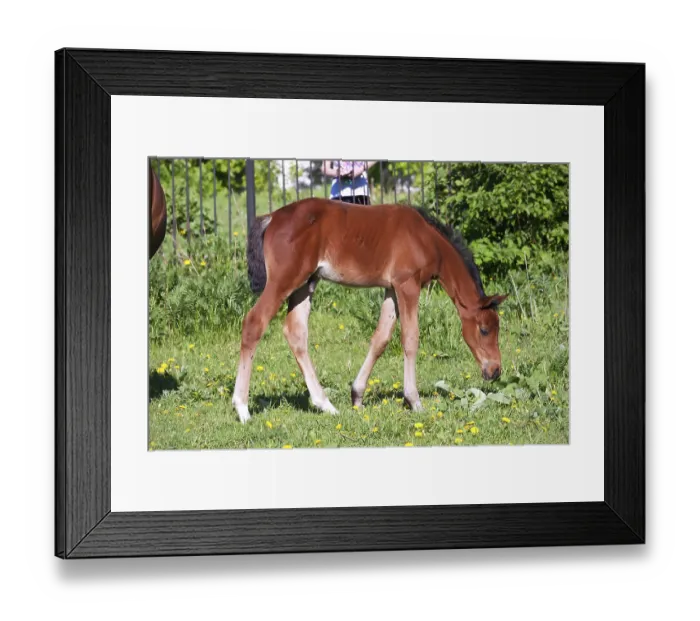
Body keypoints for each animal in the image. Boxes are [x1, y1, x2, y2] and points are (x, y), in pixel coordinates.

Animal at [233, 197, 507, 424]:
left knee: (296, 333)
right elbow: (410, 339)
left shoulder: (391, 289)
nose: (495, 371)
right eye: (484, 329)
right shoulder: (408, 285)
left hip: (306, 283)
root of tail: (272, 217)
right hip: (285, 280)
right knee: (254, 323)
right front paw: (415, 401)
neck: (425, 239)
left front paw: (357, 396)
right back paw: (243, 409)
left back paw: (326, 405)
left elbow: (381, 339)